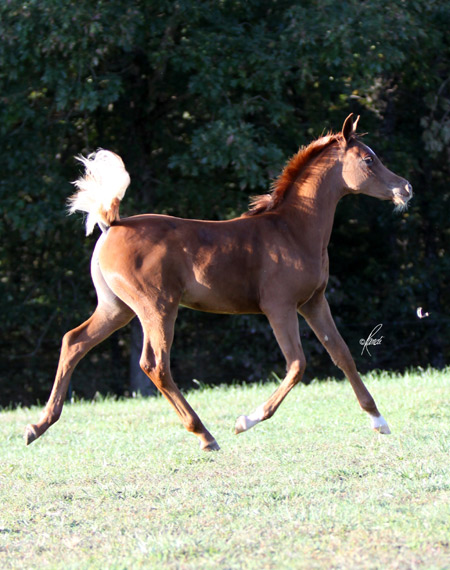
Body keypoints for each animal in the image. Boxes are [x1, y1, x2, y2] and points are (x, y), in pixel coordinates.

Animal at [24, 113, 412, 448]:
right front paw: (245, 421)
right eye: (368, 160)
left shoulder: (314, 302)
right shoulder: (279, 307)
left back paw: (37, 426)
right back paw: (205, 435)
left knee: (74, 341)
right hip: (157, 307)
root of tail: (112, 223)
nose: (405, 188)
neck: (293, 230)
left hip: (116, 308)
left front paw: (379, 421)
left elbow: (343, 354)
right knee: (155, 364)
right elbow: (297, 364)